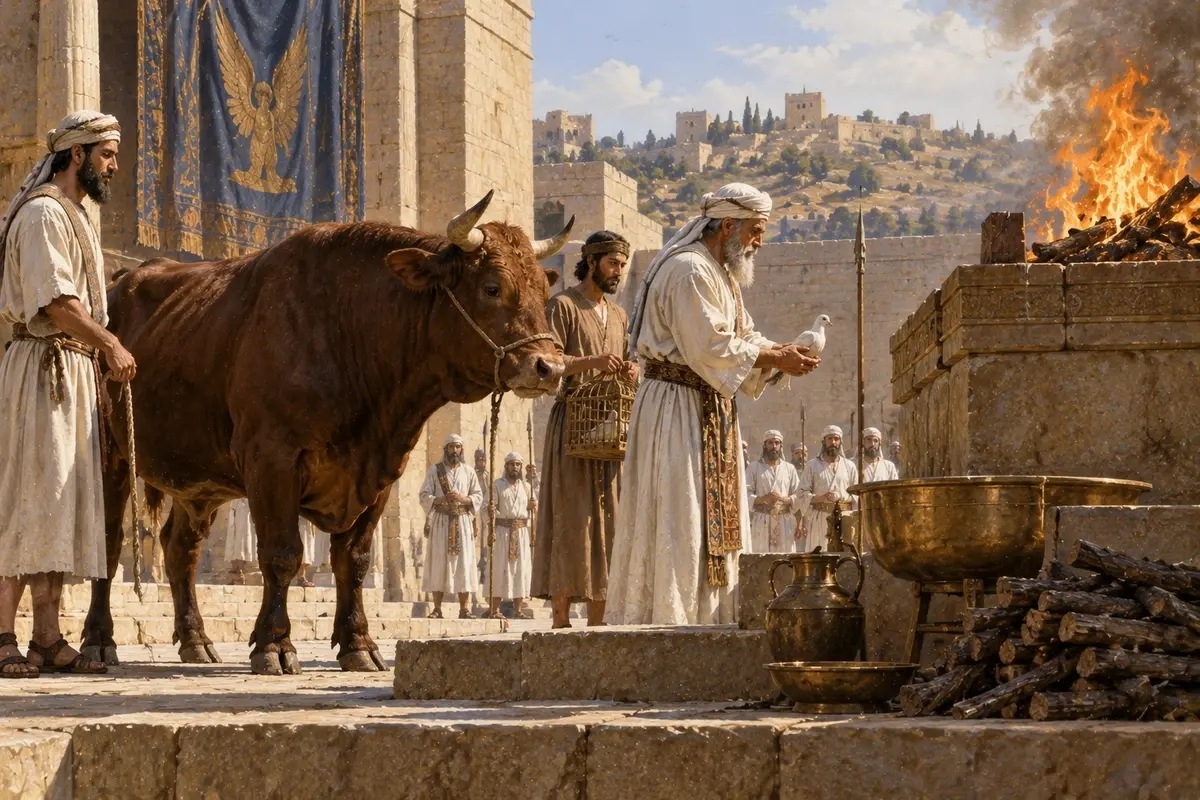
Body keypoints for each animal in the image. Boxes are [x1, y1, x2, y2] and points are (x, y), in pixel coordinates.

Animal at [80, 192, 569, 675]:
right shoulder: (272, 459)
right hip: (111, 455)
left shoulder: (379, 475)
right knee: (108, 542)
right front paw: (274, 644)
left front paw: (359, 644)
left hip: (199, 480)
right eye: (492, 287)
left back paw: (196, 641)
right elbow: (282, 554)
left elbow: (353, 560)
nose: (549, 366)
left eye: (543, 292)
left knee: (180, 548)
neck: (347, 328)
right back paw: (98, 642)